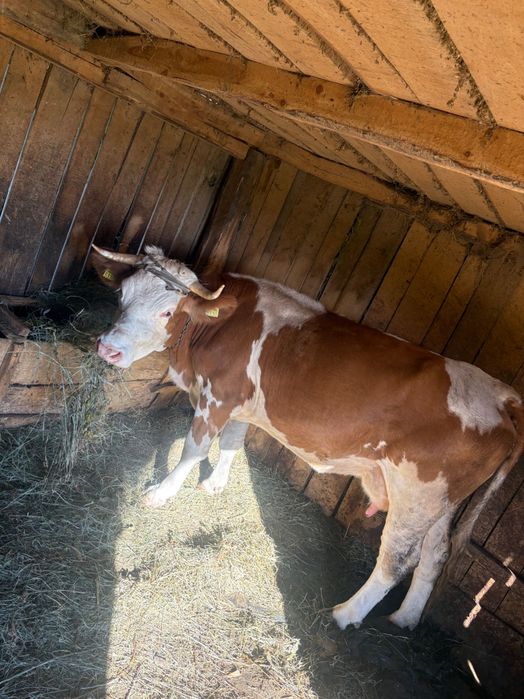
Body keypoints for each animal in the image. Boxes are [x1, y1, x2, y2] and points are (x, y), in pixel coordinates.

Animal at [92, 244, 524, 631]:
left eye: (167, 311)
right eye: (122, 295)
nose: (108, 349)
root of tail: (500, 395)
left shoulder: (219, 396)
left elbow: (194, 449)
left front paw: (161, 493)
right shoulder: (241, 402)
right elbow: (232, 442)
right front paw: (214, 484)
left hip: (418, 491)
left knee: (398, 558)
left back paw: (346, 613)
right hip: (444, 500)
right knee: (435, 553)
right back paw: (404, 617)